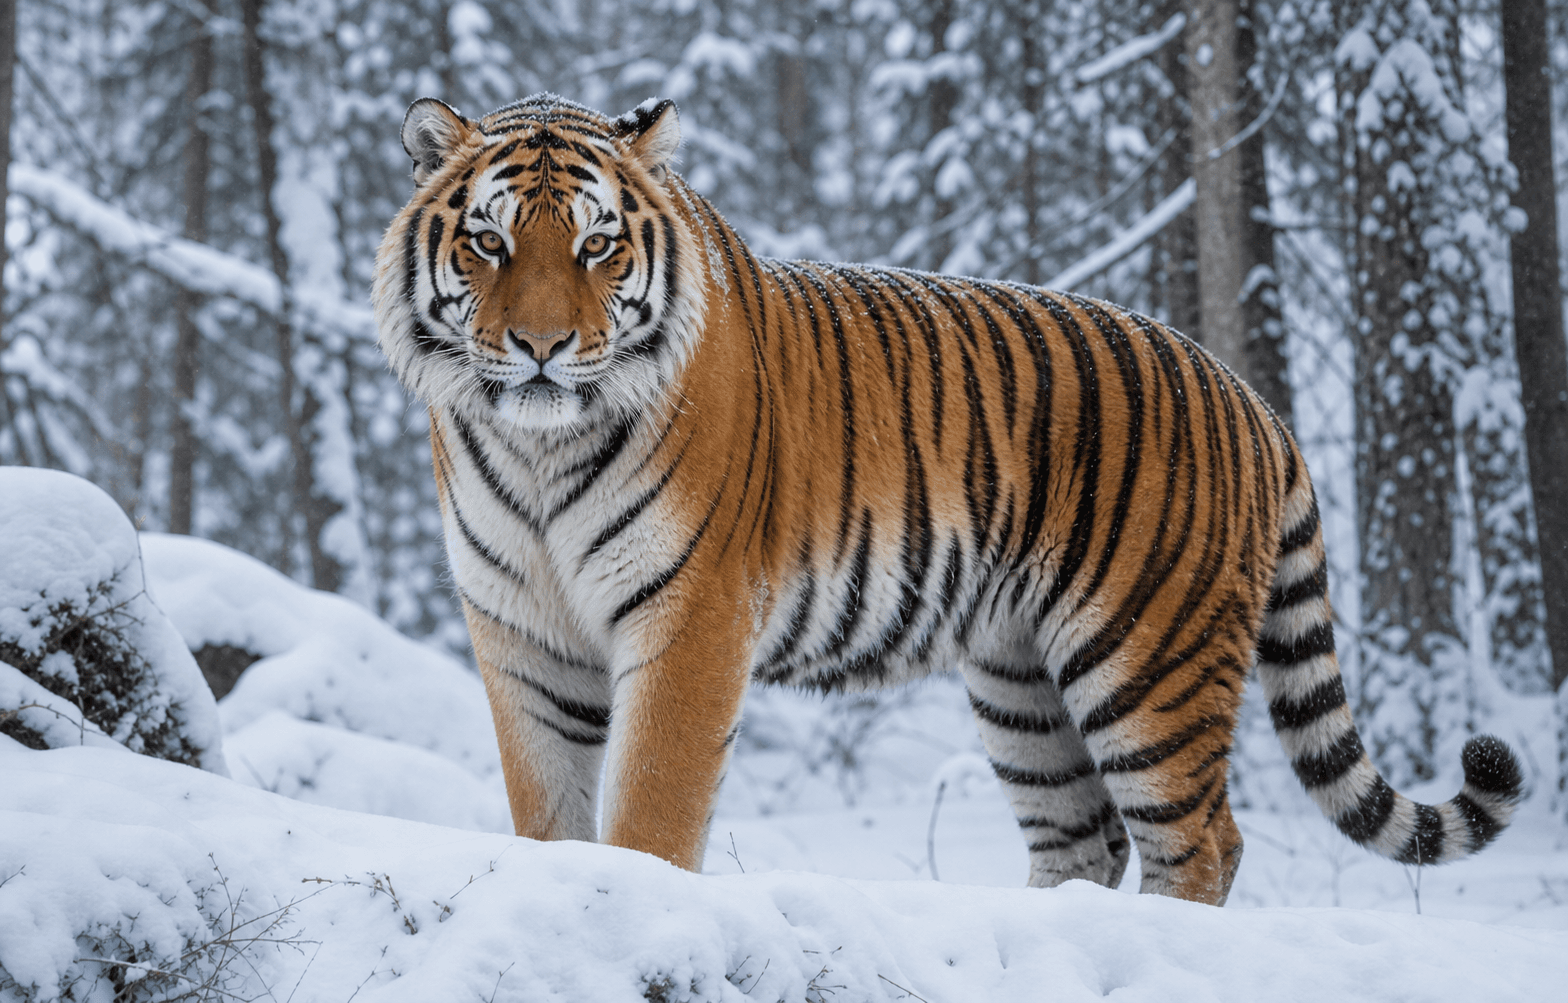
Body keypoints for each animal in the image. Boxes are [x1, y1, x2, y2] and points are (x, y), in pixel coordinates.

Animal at [372, 92, 1523, 905]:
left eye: (598, 244)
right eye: (488, 240)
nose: (541, 347)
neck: (536, 450)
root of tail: (1251, 397)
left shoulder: (689, 618)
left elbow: (652, 811)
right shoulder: (521, 630)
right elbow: (545, 815)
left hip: (1146, 659)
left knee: (1200, 840)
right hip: (1020, 676)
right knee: (1085, 837)